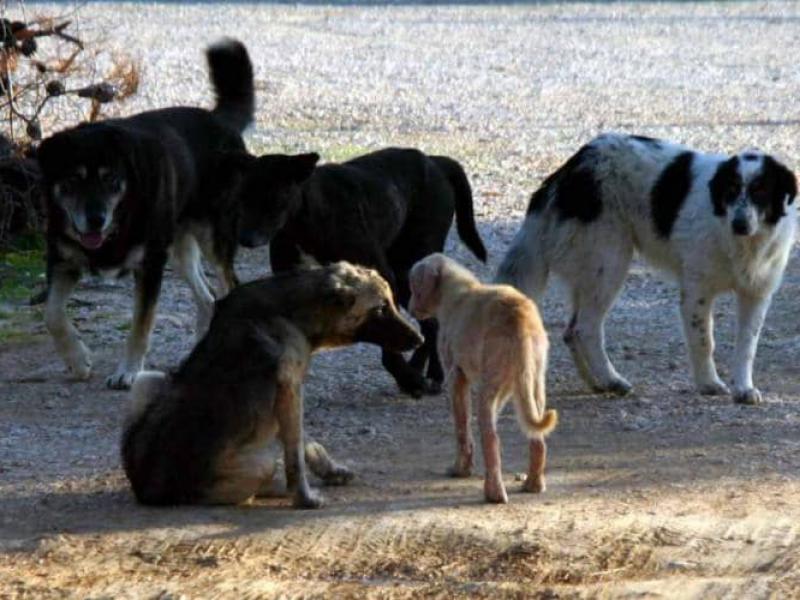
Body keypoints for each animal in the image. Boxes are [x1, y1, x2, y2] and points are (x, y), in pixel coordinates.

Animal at [37, 39, 255, 392]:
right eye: (73, 180)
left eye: (111, 180)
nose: (95, 220)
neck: (119, 220)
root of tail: (218, 120)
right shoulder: (62, 259)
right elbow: (52, 314)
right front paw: (77, 360)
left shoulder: (150, 264)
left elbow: (141, 325)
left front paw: (127, 372)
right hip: (179, 248)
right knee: (208, 299)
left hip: (212, 237)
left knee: (228, 285)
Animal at [122, 262, 422, 506]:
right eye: (381, 308)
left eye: (392, 302)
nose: (419, 339)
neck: (292, 311)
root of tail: (149, 490)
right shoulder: (290, 390)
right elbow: (295, 455)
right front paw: (304, 498)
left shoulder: (289, 397)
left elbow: (306, 443)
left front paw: (330, 471)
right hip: (260, 464)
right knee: (258, 484)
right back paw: (278, 488)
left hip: (147, 380)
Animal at [223, 147, 488, 396]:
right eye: (241, 197)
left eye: (276, 197)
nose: (245, 238)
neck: (307, 218)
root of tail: (435, 161)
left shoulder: (383, 278)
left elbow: (389, 339)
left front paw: (407, 378)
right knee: (429, 323)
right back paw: (419, 369)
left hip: (410, 266)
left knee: (432, 322)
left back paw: (432, 374)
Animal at [412, 252, 556, 502]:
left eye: (413, 286)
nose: (410, 309)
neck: (456, 290)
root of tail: (520, 320)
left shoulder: (456, 376)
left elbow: (462, 428)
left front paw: (461, 470)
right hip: (533, 384)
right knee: (537, 439)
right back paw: (533, 484)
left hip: (489, 389)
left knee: (491, 438)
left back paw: (494, 493)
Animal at [496, 131, 796, 404]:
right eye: (731, 190)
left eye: (761, 192)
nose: (740, 224)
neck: (742, 242)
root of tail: (572, 166)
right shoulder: (697, 291)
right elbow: (703, 341)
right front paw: (708, 383)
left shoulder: (756, 294)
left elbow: (747, 346)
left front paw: (744, 389)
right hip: (609, 261)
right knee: (585, 328)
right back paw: (611, 379)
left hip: (591, 270)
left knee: (570, 332)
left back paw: (596, 382)